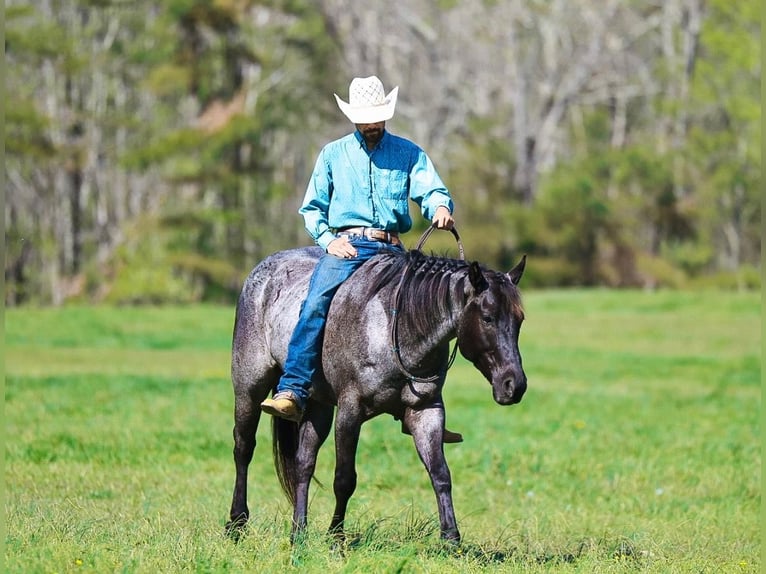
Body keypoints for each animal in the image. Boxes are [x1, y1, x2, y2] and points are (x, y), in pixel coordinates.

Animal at [225, 239, 527, 544]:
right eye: (487, 318)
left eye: (520, 320)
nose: (514, 386)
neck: (395, 328)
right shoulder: (350, 412)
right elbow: (344, 479)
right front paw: (336, 537)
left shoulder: (426, 411)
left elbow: (440, 474)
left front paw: (451, 539)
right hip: (249, 389)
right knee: (243, 448)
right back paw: (236, 523)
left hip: (318, 405)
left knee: (303, 463)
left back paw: (298, 532)